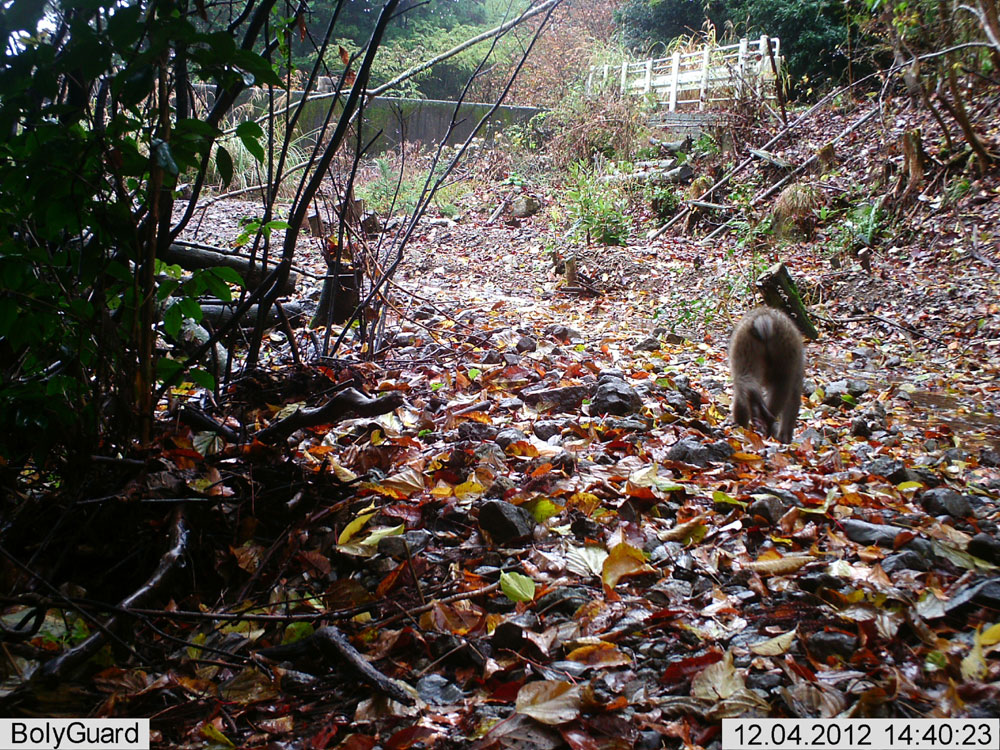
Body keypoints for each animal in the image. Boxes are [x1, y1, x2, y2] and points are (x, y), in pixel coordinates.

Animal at [728, 306, 804, 444]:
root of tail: (764, 321)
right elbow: (794, 399)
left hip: (746, 344)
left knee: (745, 382)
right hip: (787, 349)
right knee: (785, 389)